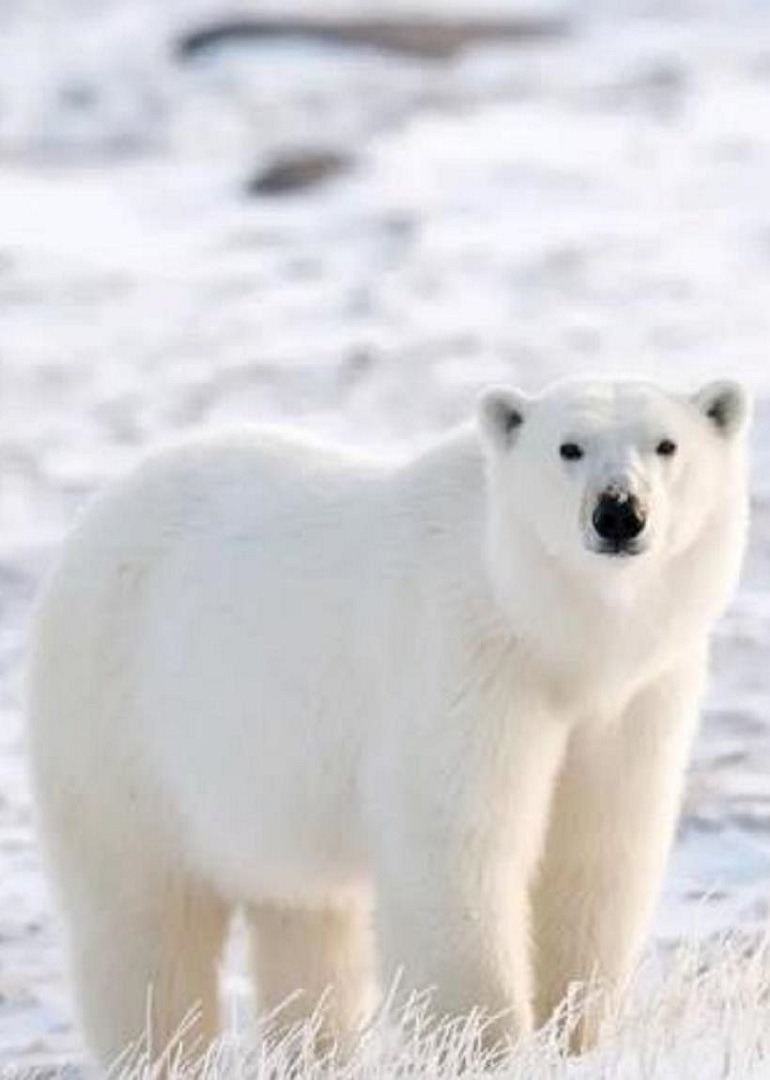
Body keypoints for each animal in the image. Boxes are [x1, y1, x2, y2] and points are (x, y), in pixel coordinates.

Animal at [27, 377, 750, 1067]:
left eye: (666, 445)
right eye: (568, 447)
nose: (619, 511)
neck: (550, 633)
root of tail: (99, 511)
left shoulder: (634, 698)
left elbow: (596, 851)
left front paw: (575, 1036)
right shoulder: (463, 662)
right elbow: (458, 848)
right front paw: (484, 1046)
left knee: (305, 922)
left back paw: (315, 1051)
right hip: (122, 726)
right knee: (144, 921)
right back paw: (161, 1051)